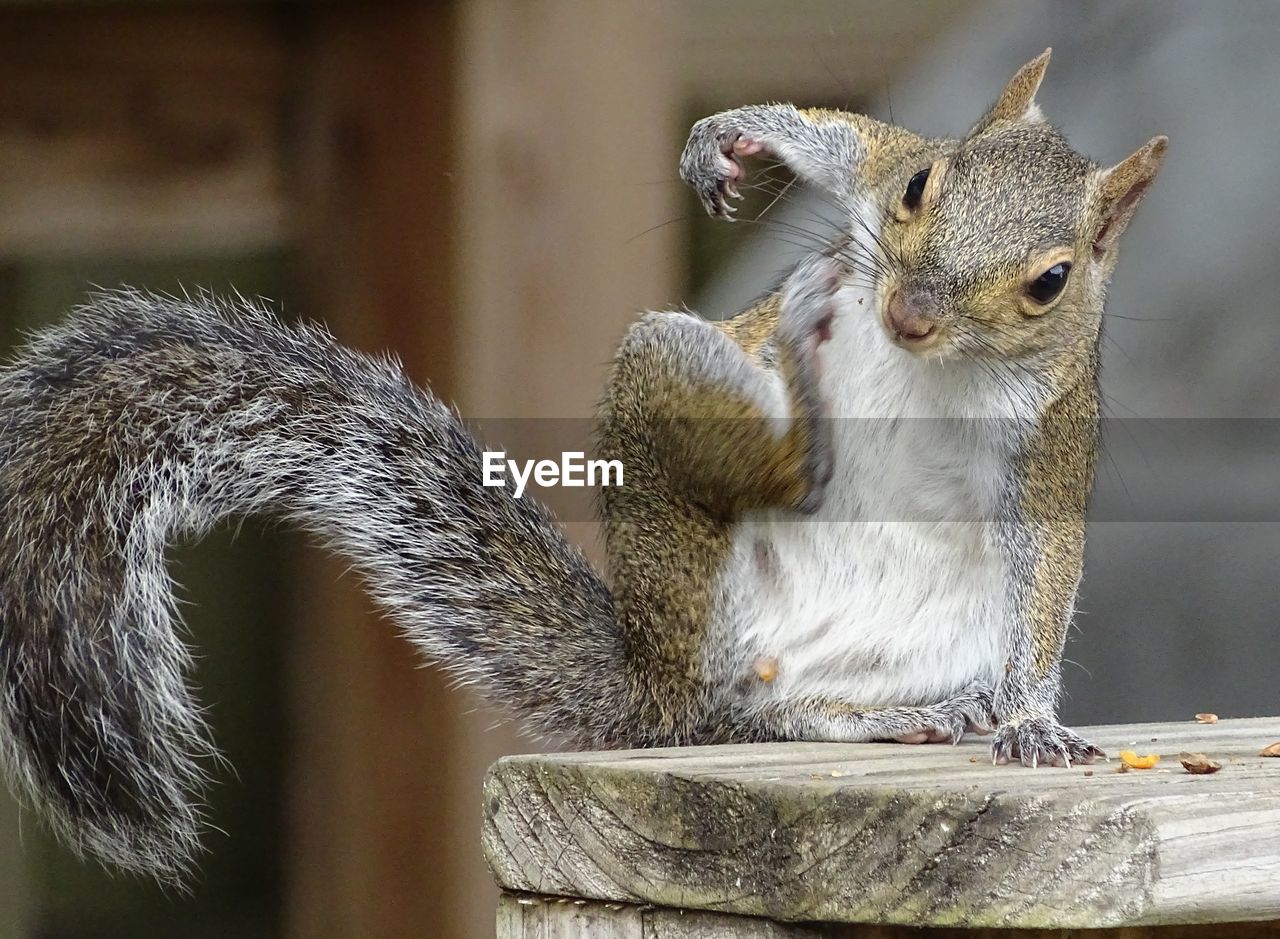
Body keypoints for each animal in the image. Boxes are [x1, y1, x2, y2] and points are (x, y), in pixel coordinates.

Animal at [0, 51, 1167, 885]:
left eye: (1051, 281)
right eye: (925, 183)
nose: (908, 313)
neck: (932, 365)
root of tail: (655, 683)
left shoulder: (1046, 445)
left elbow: (1044, 570)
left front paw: (1029, 718)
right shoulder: (876, 178)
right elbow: (849, 147)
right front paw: (737, 137)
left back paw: (937, 706)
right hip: (679, 465)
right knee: (747, 681)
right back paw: (795, 394)